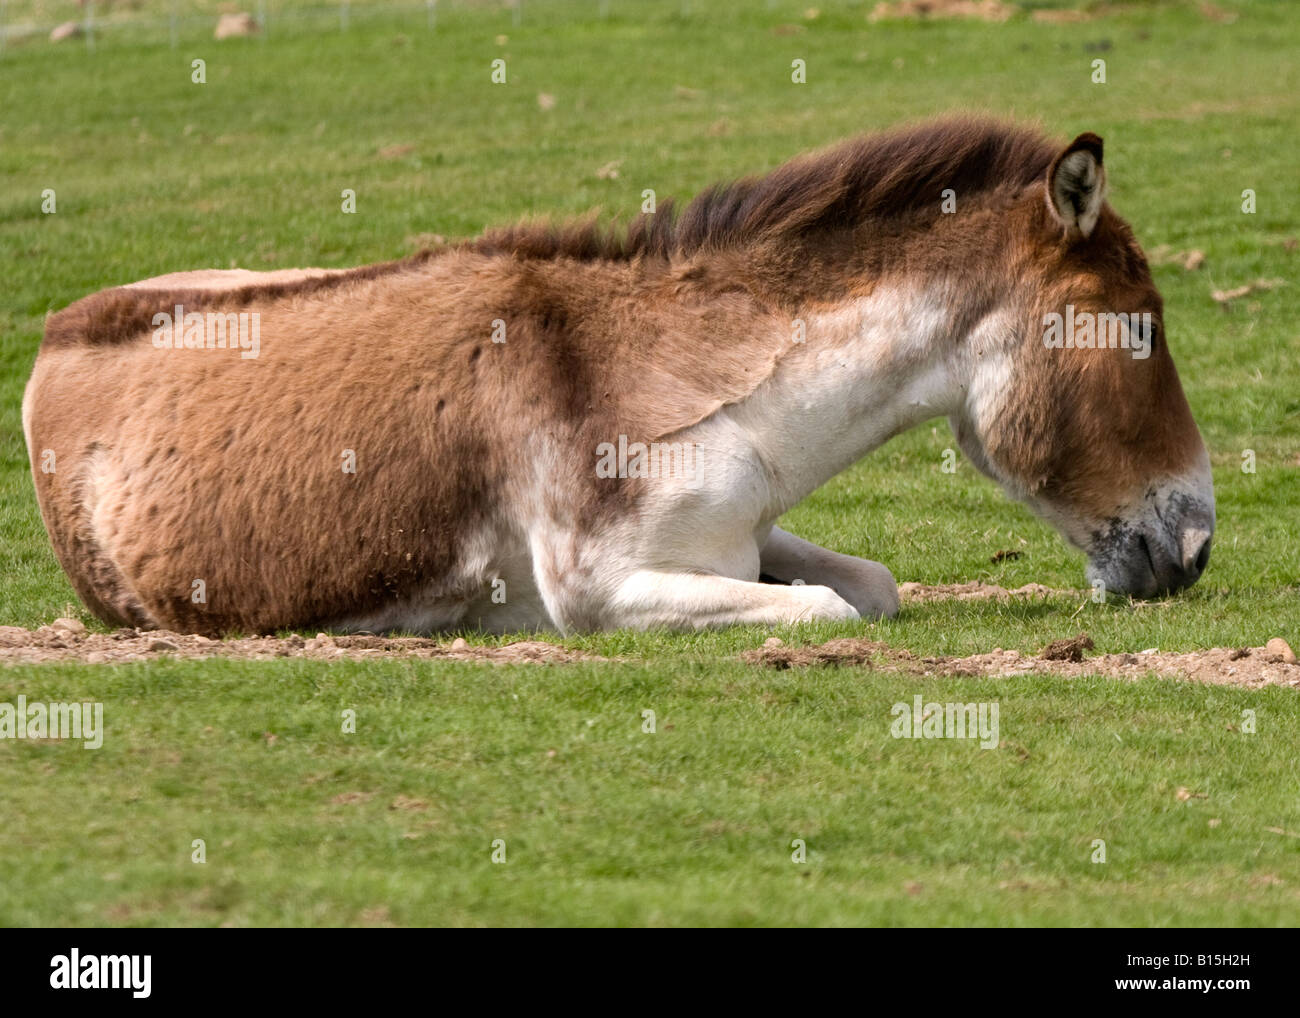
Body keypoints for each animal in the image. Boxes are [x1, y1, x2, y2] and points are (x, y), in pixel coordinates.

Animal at [20, 119, 1211, 637]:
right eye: (1137, 330)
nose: (1197, 544)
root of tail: (57, 331)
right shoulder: (601, 586)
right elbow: (832, 608)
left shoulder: (740, 532)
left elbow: (868, 582)